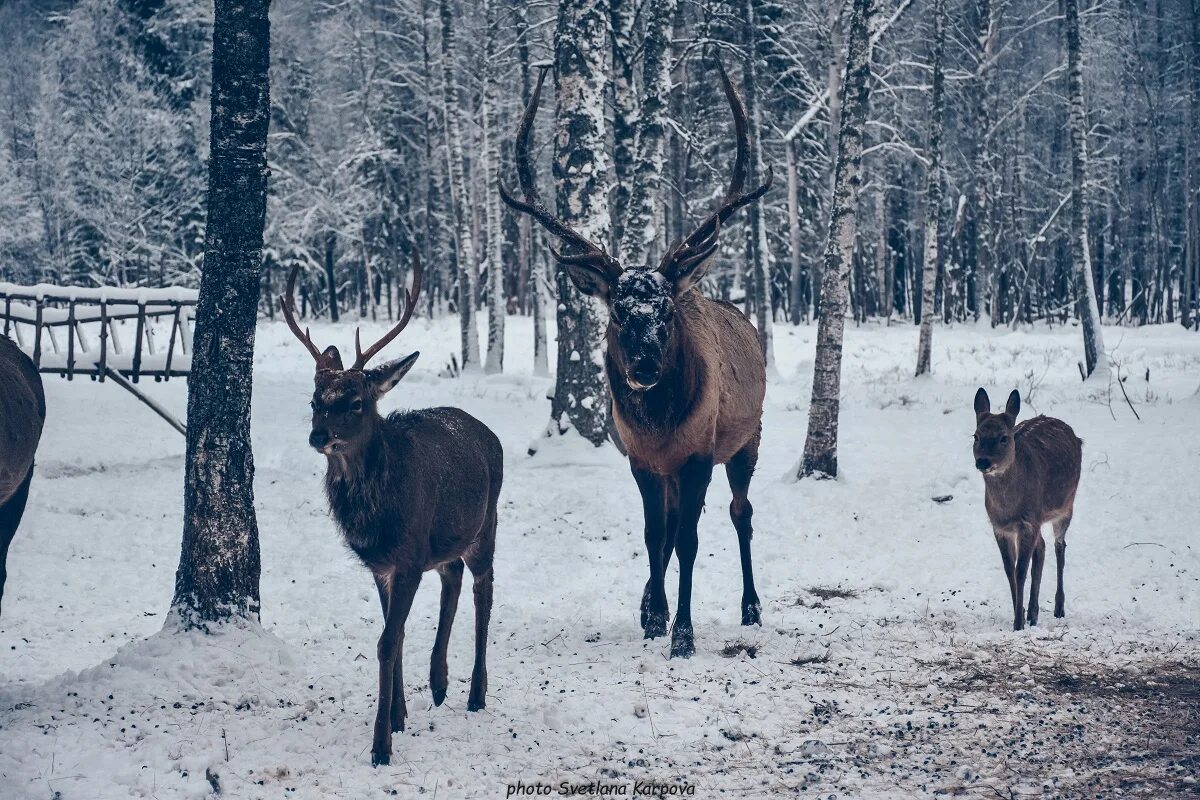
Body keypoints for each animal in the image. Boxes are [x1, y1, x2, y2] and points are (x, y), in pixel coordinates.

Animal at [280, 257, 501, 767]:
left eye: (356, 401)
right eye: (315, 400)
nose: (318, 436)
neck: (375, 518)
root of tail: (490, 433)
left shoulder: (408, 556)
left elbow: (385, 642)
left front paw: (381, 745)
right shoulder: (382, 565)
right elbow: (394, 638)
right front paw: (398, 715)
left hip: (487, 524)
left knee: (483, 592)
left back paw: (476, 694)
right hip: (444, 541)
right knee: (452, 577)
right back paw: (438, 683)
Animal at [501, 62, 772, 662]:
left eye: (664, 309)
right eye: (620, 310)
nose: (645, 367)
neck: (661, 426)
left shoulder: (697, 455)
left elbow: (689, 541)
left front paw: (683, 635)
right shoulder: (643, 461)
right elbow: (655, 536)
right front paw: (653, 618)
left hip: (748, 439)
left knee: (741, 515)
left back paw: (751, 607)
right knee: (669, 528)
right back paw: (653, 603)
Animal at [969, 388, 1084, 633]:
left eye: (1004, 437)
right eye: (976, 436)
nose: (983, 462)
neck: (1008, 509)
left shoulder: (1028, 522)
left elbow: (1021, 570)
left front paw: (1018, 623)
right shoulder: (1000, 527)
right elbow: (1009, 569)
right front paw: (1019, 614)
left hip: (1066, 506)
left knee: (1059, 546)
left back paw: (1058, 608)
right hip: (1040, 519)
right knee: (1041, 548)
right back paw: (1033, 613)